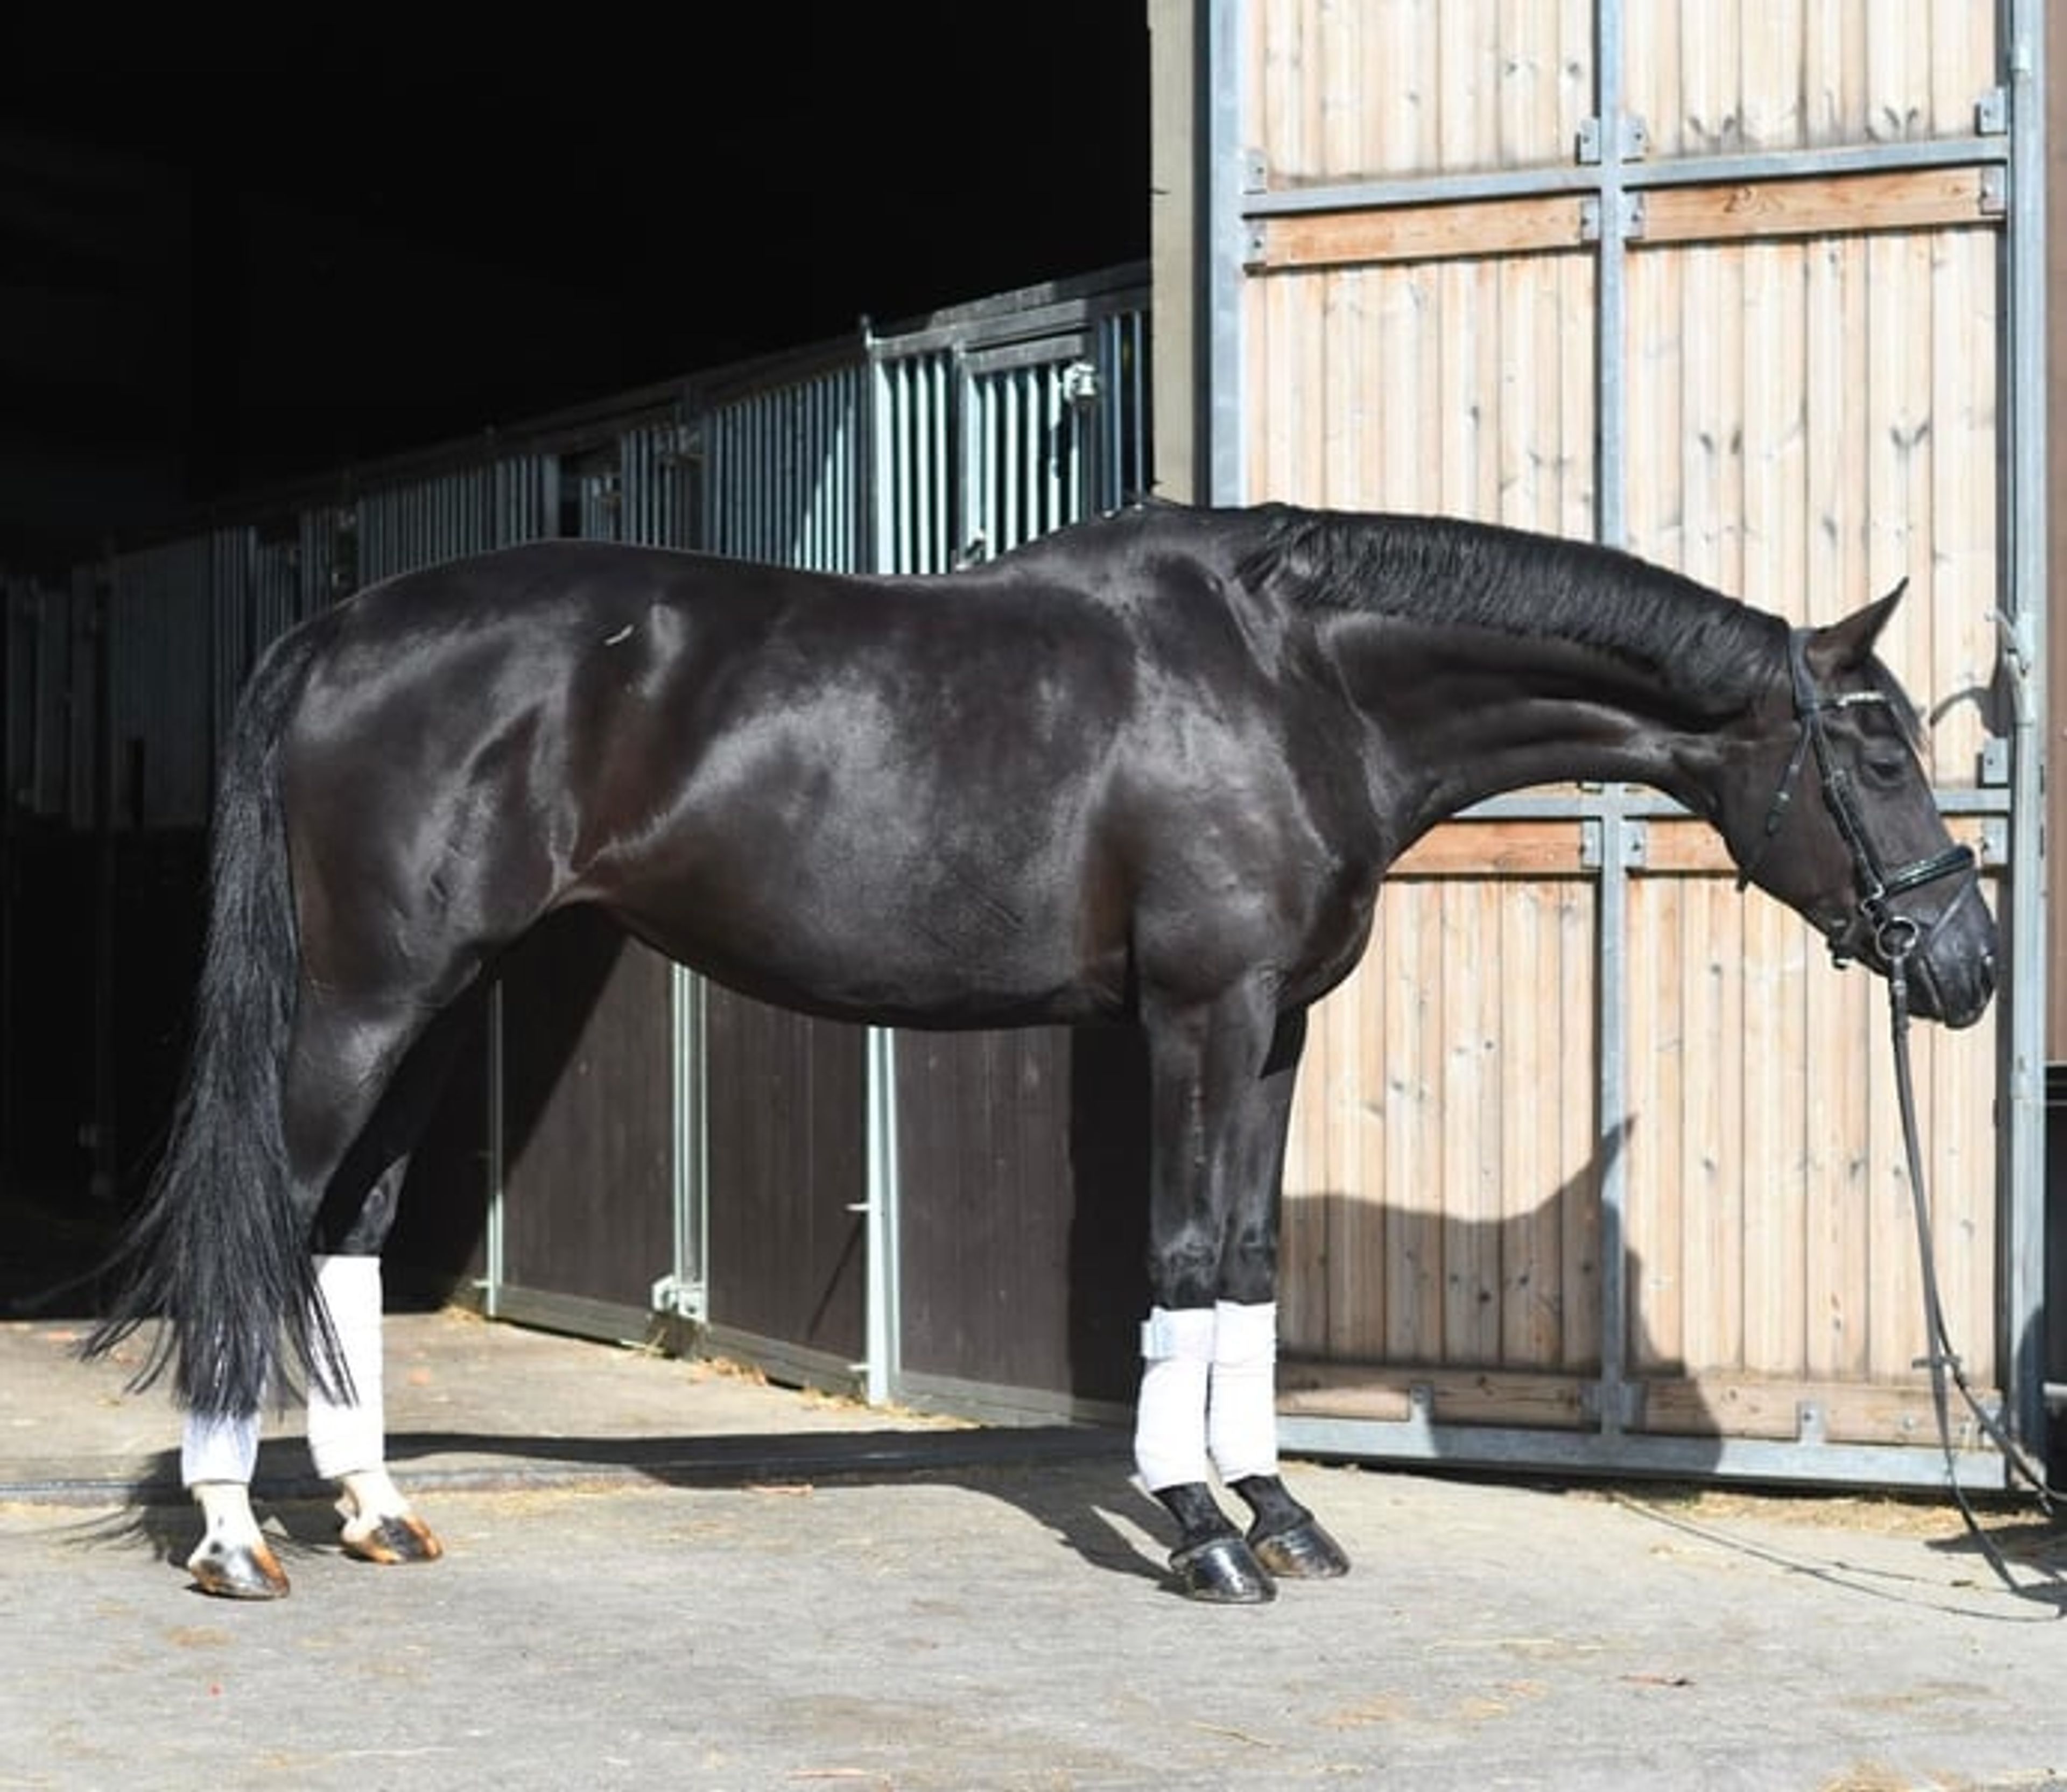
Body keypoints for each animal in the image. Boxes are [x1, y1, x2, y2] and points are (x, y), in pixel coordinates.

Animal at [83, 500, 1997, 1604]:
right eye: (1874, 745)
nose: (1968, 969)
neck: (1297, 677)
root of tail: (337, 627)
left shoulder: (1282, 1023)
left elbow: (1246, 1262)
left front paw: (1277, 1509)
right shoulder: (1201, 1013)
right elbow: (1176, 1259)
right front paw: (1203, 1528)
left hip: (441, 991)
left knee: (339, 1232)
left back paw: (371, 1509)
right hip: (367, 995)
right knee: (267, 1211)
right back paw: (237, 1535)